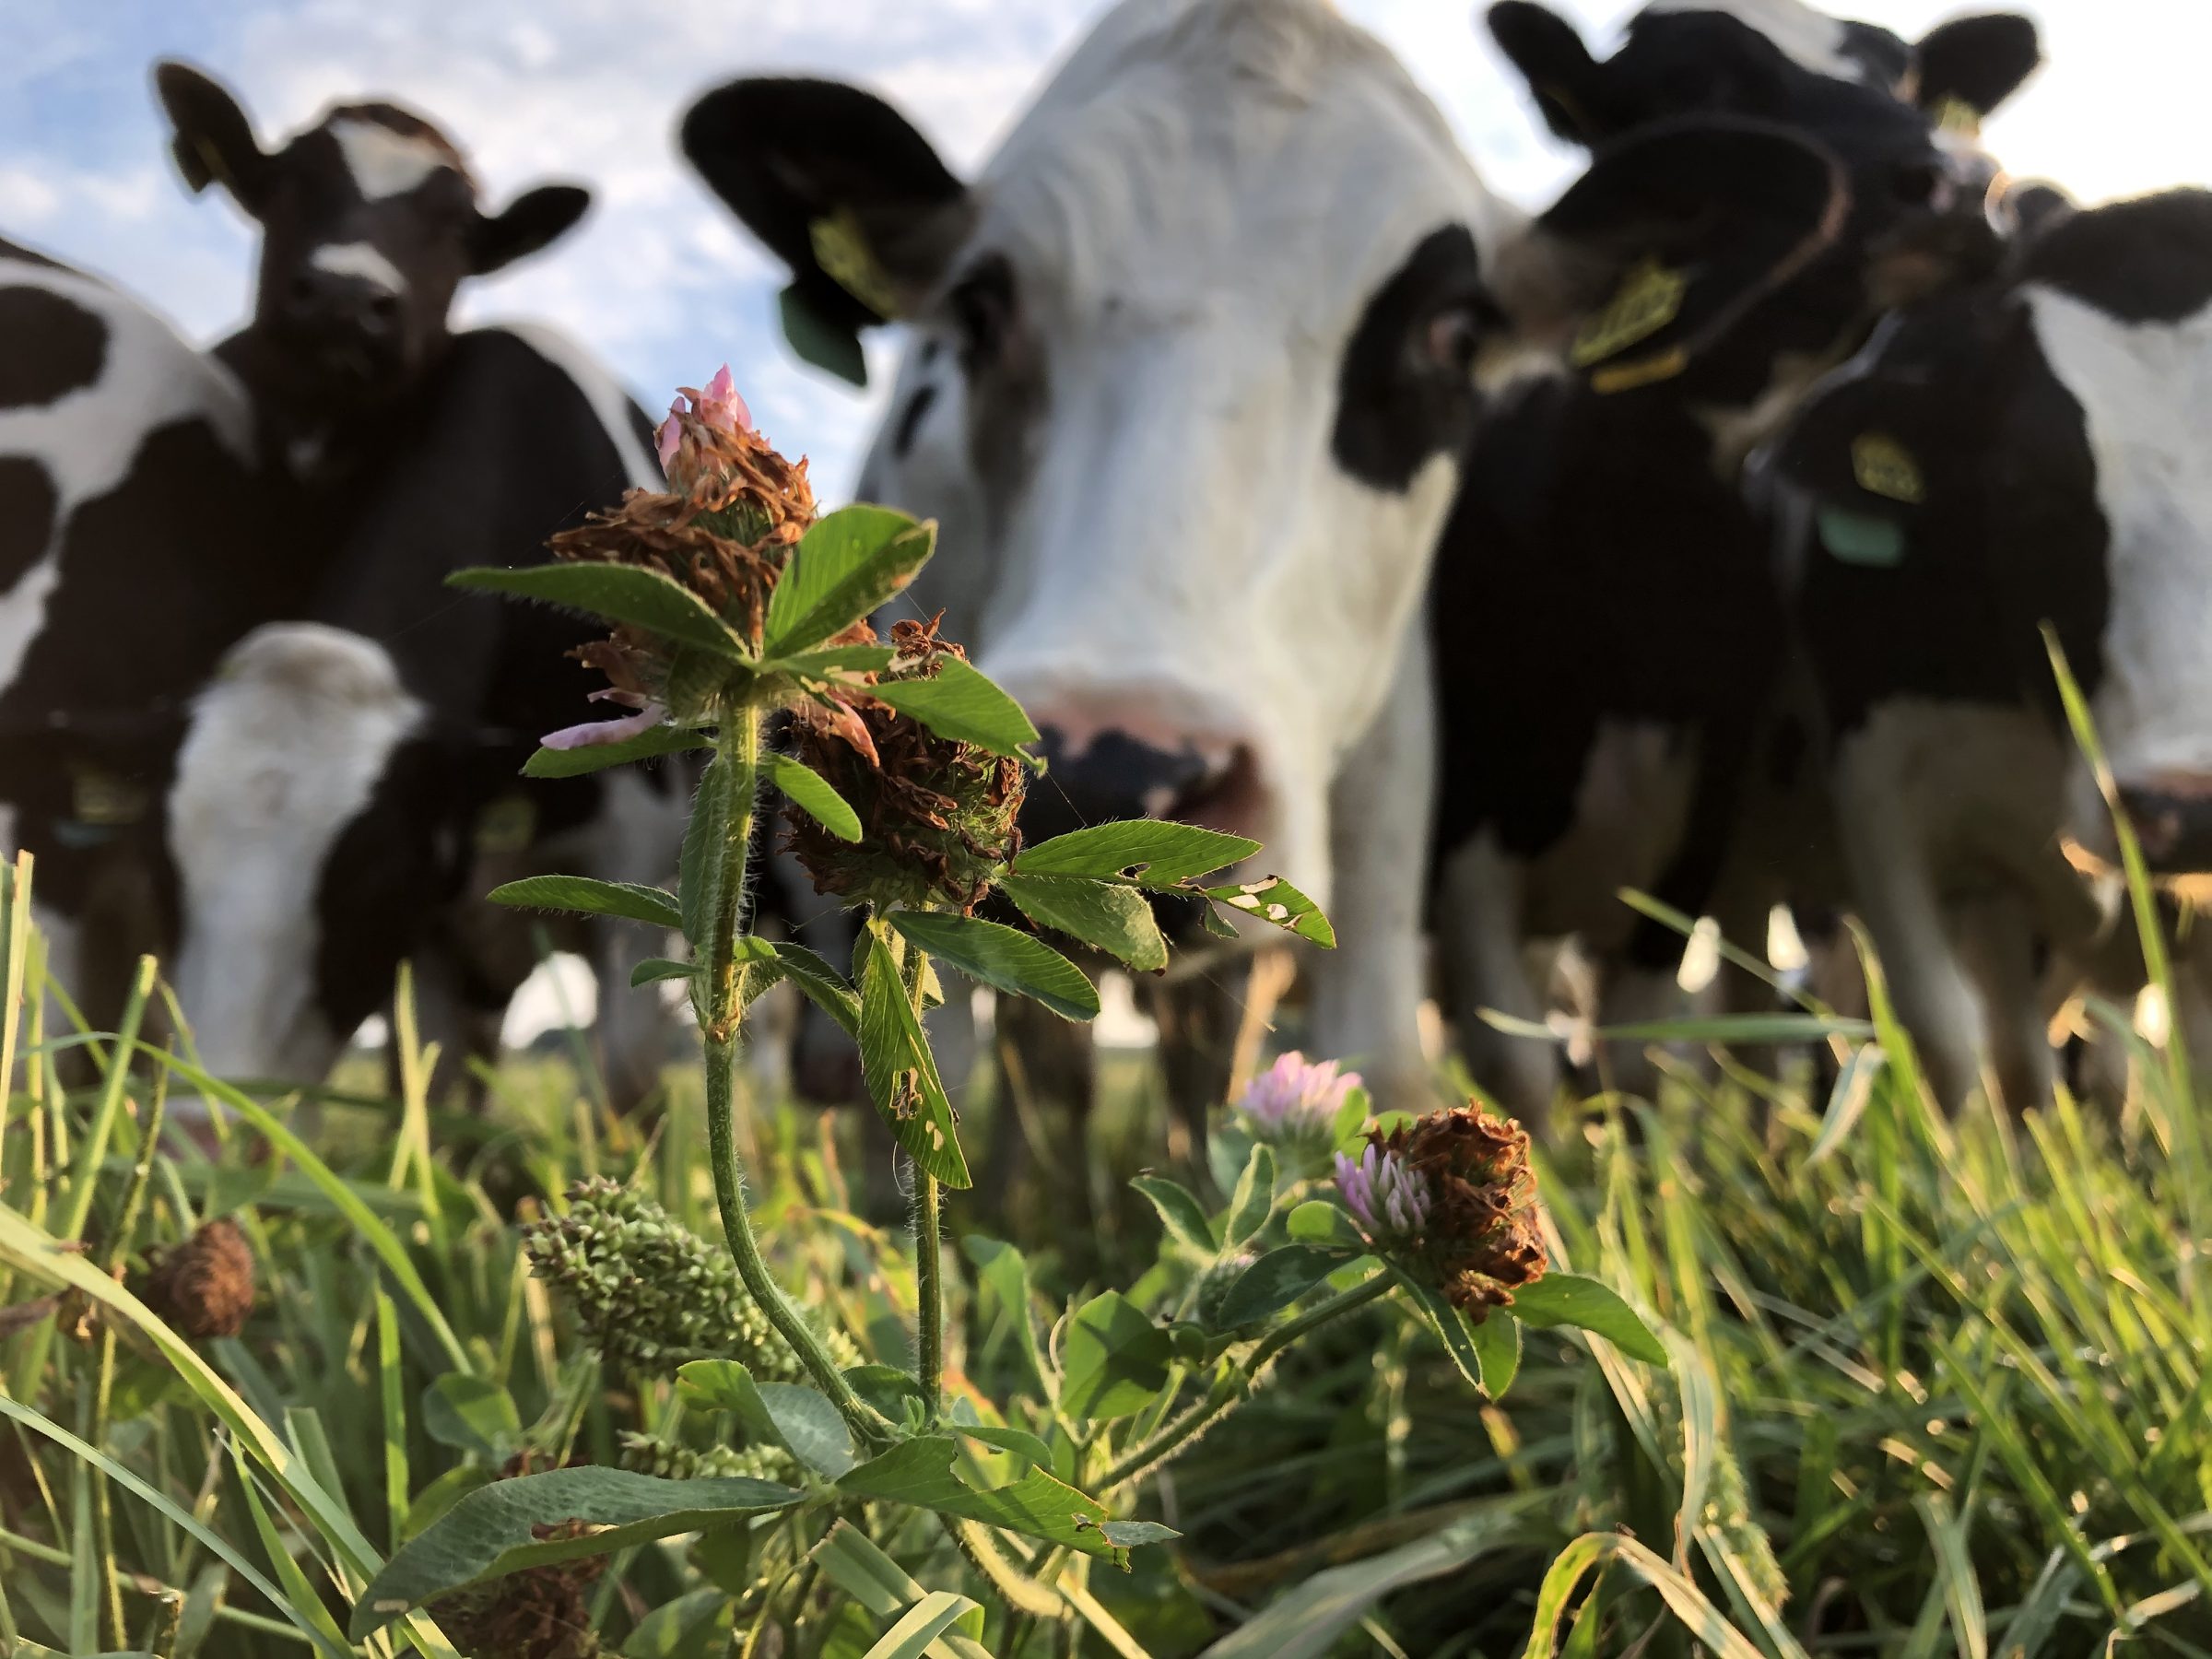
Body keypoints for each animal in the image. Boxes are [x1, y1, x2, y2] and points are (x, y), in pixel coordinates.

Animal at [679, 0, 1858, 1121]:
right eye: (978, 305)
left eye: (1450, 332)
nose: (1114, 769)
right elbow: (940, 1071)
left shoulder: (1396, 761)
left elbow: (1381, 1055)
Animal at [1426, 0, 2039, 1112]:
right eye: (1695, 87)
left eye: (1909, 85)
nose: (1957, 184)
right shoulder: (1465, 837)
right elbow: (1516, 1070)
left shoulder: (1690, 842)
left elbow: (1633, 1058)